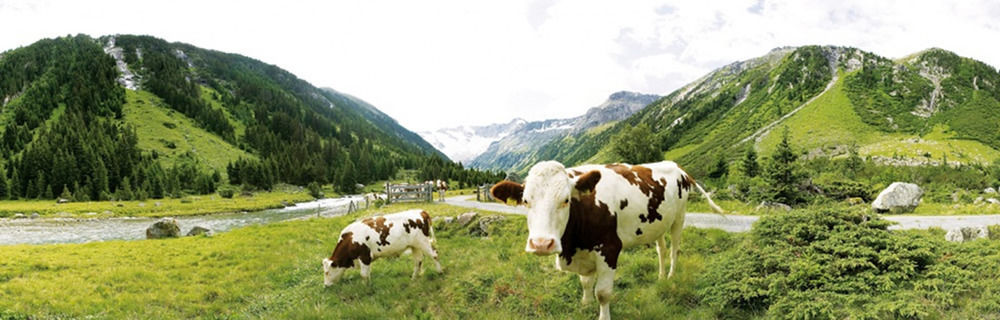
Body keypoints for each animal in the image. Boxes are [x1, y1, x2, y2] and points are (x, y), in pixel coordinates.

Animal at [490, 160, 720, 320]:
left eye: (566, 200)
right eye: (526, 201)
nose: (541, 244)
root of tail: (677, 166)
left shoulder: (609, 249)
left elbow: (603, 293)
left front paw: (602, 314)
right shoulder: (585, 252)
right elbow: (585, 282)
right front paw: (585, 304)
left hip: (679, 219)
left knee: (674, 250)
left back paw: (671, 276)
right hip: (659, 224)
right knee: (661, 250)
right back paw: (661, 277)